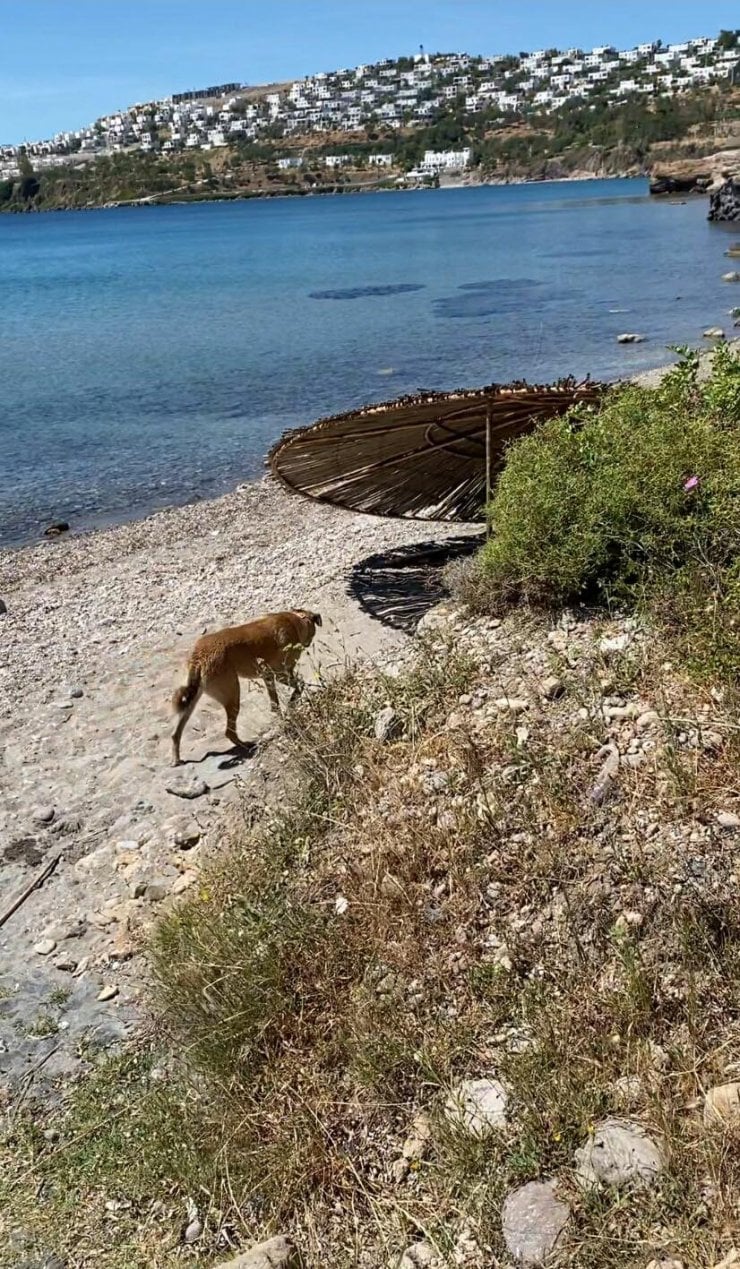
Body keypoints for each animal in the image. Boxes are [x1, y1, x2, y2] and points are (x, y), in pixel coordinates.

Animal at [173, 606, 324, 761]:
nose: (308, 644)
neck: (296, 619)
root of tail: (199, 657)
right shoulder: (279, 674)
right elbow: (300, 685)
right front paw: (291, 705)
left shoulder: (269, 676)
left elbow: (277, 702)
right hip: (233, 695)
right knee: (229, 732)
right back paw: (246, 746)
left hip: (191, 702)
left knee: (176, 733)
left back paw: (176, 759)